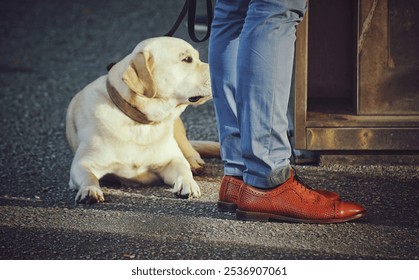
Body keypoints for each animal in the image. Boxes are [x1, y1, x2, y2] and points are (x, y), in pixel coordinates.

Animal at [67, 36, 218, 203]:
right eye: (187, 59)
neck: (139, 124)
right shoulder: (82, 163)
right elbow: (89, 176)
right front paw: (90, 189)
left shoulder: (172, 159)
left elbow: (183, 169)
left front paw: (188, 183)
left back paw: (194, 161)